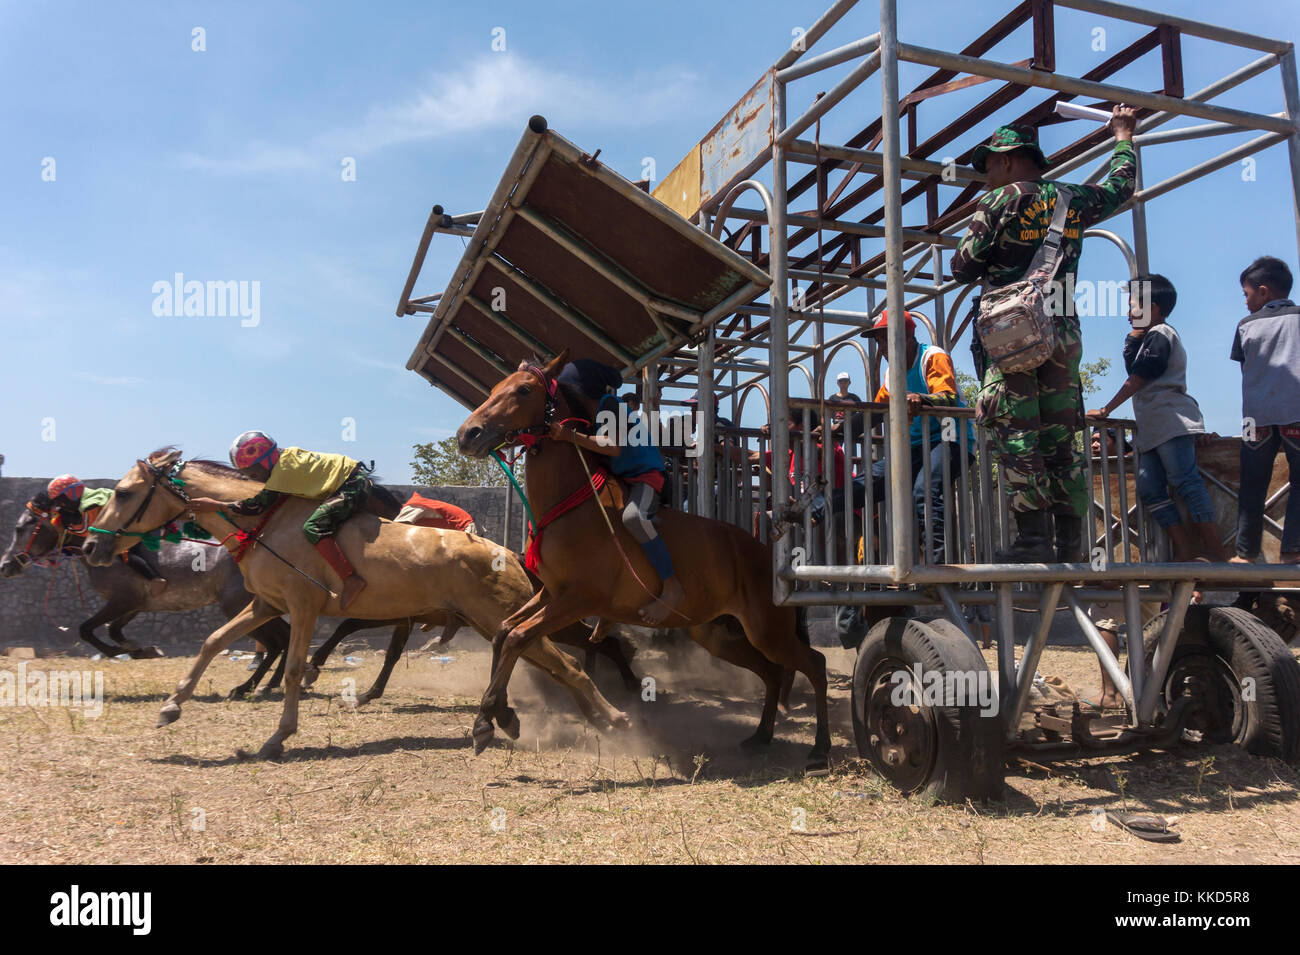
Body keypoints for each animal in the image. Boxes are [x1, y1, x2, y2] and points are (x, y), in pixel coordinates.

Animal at [81, 449, 629, 764]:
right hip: (497, 621)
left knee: (569, 664)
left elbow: (295, 667)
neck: (267, 522)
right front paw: (172, 705)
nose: (90, 546)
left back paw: (611, 718)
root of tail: (508, 554)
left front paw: (279, 735)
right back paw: (509, 718)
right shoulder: (265, 606)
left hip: (507, 617)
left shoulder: (302, 608)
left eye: (124, 492)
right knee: (542, 659)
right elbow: (214, 642)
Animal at [452, 350, 826, 779]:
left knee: (814, 664)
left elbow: (518, 637)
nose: (468, 434)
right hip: (719, 633)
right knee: (772, 672)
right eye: (496, 387)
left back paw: (821, 748)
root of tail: (766, 554)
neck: (573, 503)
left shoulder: (578, 600)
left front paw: (491, 718)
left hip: (767, 630)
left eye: (524, 390)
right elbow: (503, 631)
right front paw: (497, 713)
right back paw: (761, 736)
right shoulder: (550, 594)